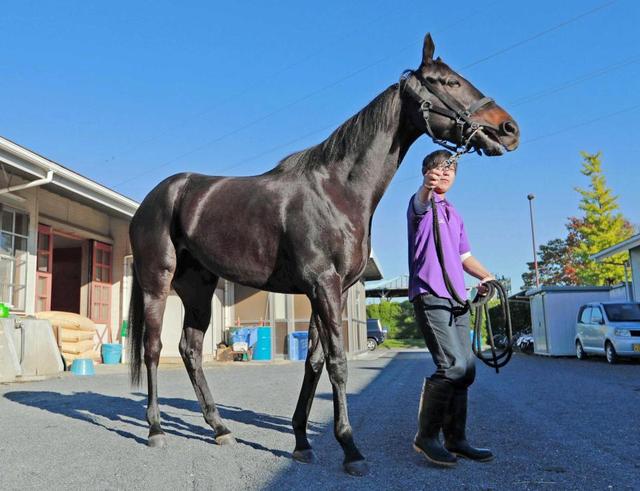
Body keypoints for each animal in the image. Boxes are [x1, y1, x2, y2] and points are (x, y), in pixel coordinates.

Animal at [127, 33, 516, 476]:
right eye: (448, 82)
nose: (508, 128)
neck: (337, 191)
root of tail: (156, 198)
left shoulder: (331, 291)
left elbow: (313, 362)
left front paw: (301, 441)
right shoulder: (323, 286)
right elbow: (337, 363)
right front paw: (351, 448)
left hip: (198, 286)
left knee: (190, 350)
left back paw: (220, 428)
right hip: (158, 281)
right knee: (153, 348)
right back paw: (156, 429)